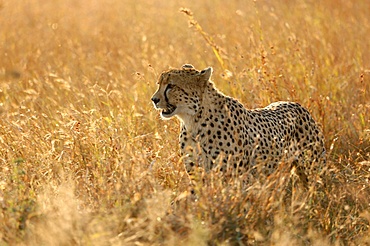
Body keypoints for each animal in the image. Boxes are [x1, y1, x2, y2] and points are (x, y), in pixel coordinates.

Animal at [152, 64, 326, 180]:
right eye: (159, 84)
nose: (154, 99)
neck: (194, 121)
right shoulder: (198, 174)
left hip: (315, 167)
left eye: (171, 86)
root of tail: (296, 104)